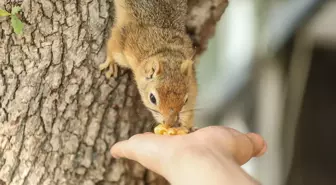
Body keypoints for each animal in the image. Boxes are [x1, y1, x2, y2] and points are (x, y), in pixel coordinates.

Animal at [100, 0, 198, 134]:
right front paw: (110, 63)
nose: (169, 123)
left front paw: (189, 125)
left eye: (185, 100)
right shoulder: (127, 40)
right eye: (152, 98)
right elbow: (113, 45)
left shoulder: (191, 81)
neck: (165, 50)